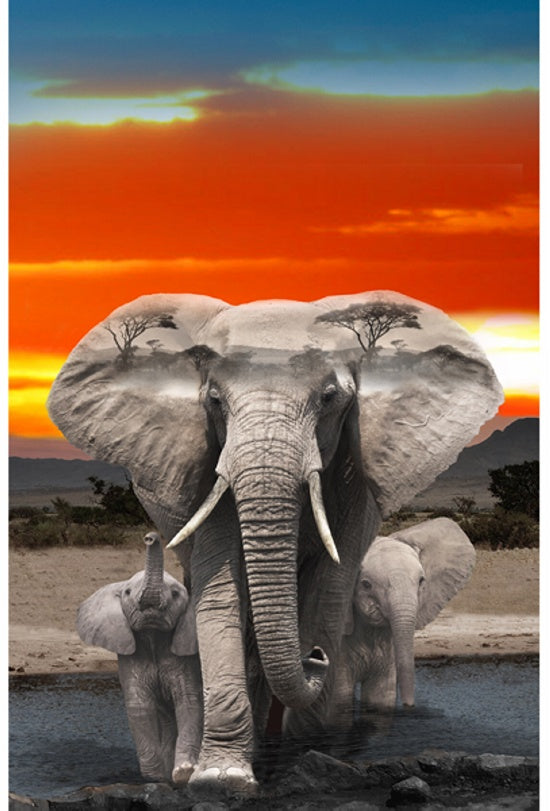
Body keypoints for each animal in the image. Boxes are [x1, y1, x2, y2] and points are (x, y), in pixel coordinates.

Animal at [76, 532, 202, 784]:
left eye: (176, 594)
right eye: (126, 593)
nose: (150, 537)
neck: (153, 636)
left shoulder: (186, 656)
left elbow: (189, 702)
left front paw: (183, 773)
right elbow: (139, 706)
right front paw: (157, 778)